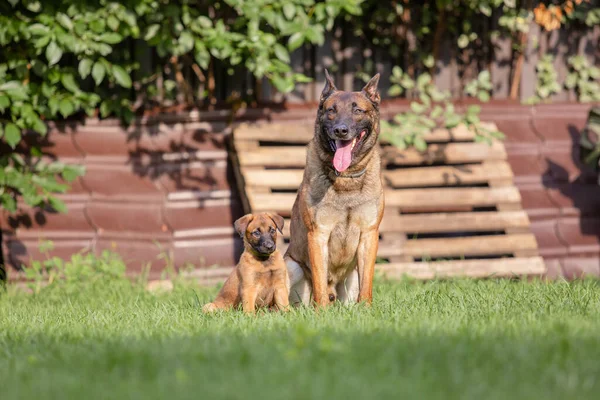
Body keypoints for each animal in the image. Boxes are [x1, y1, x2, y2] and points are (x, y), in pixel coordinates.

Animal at [284, 71, 382, 306]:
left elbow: (367, 283)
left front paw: (366, 308)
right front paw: (322, 310)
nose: (340, 130)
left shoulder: (369, 234)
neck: (346, 178)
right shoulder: (318, 234)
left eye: (358, 110)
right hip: (288, 264)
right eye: (331, 110)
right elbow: (319, 281)